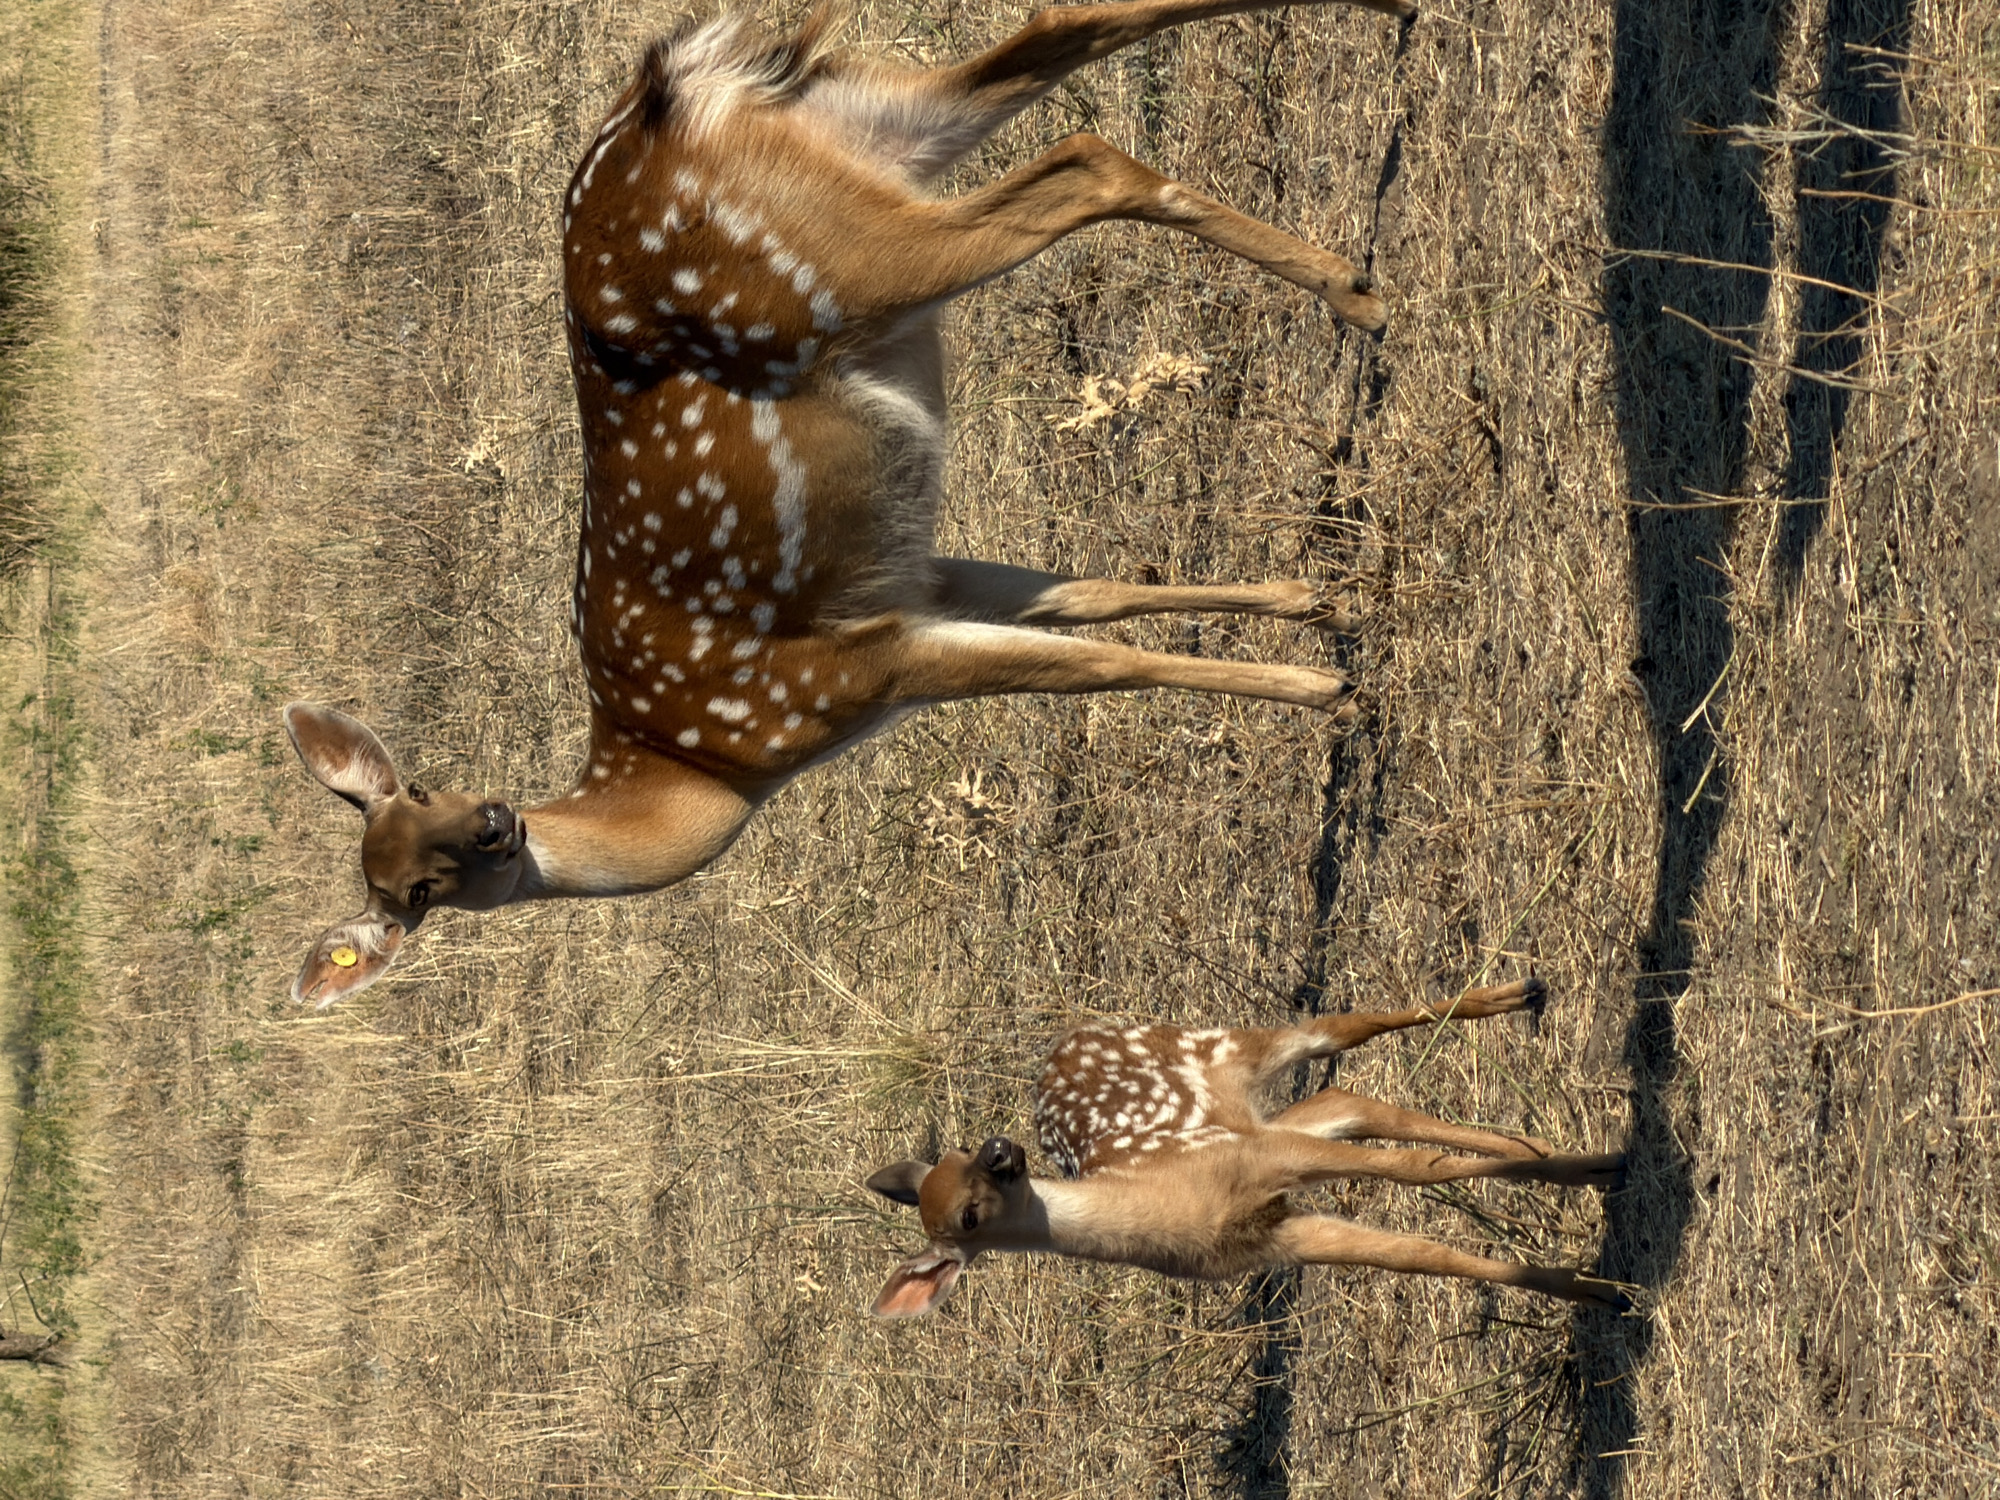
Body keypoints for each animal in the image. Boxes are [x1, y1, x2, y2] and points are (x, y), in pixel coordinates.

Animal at [285, 0, 1413, 1007]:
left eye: (423, 789)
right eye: (415, 889)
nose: (493, 825)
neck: (708, 768)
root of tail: (671, 99)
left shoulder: (843, 676)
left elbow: (1101, 667)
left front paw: (1330, 690)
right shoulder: (909, 590)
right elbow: (1091, 603)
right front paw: (1322, 608)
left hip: (842, 258)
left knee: (1082, 160)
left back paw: (1360, 291)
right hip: (868, 125)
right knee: (1061, 45)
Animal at [866, 977, 1632, 1316]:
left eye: (961, 1154)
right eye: (964, 1213)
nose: (1002, 1149)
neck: (1177, 1204)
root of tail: (1067, 1038)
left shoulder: (1268, 1163)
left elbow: (1417, 1172)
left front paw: (1594, 1186)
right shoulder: (1277, 1235)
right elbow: (1424, 1257)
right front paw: (1597, 1291)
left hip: (1225, 1048)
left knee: (1342, 1028)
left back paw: (1521, 995)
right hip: (1252, 1107)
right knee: (1348, 1100)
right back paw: (1544, 1142)